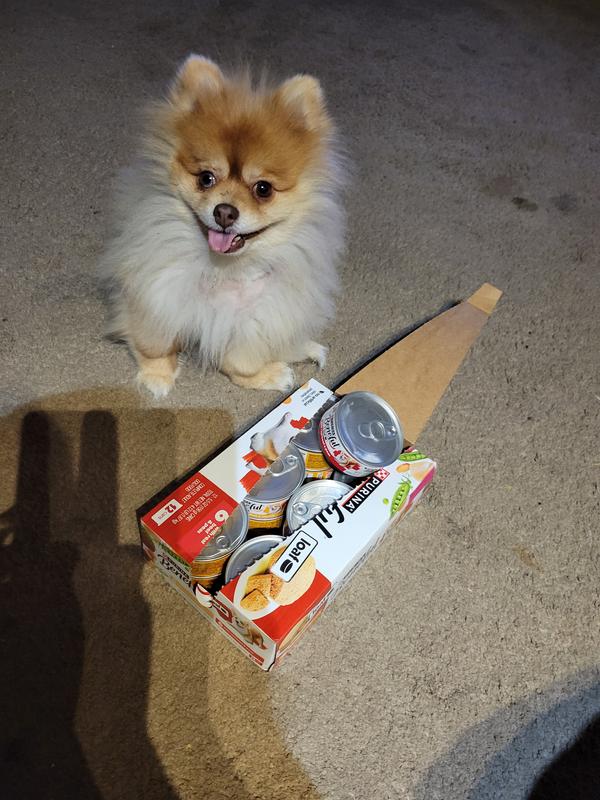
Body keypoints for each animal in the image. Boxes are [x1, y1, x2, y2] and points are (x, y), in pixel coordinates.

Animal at [100, 55, 345, 396]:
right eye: (206, 178)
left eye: (263, 188)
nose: (225, 212)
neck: (225, 270)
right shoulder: (155, 292)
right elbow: (154, 343)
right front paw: (157, 377)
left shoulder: (256, 313)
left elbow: (241, 359)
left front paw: (264, 375)